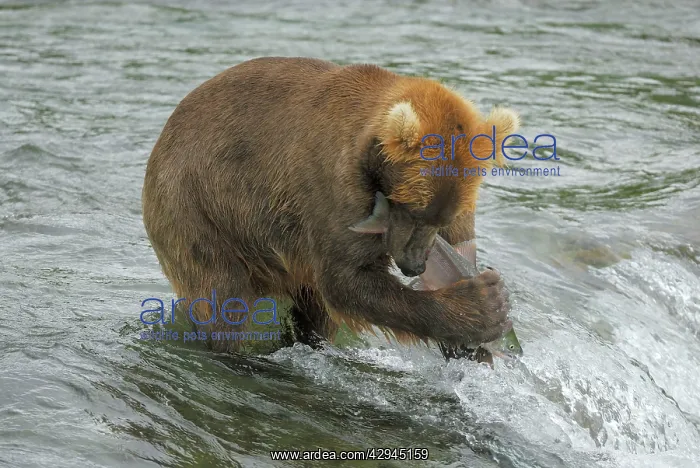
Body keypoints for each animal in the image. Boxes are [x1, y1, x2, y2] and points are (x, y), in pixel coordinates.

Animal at [141, 56, 520, 357]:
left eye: (440, 218)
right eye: (413, 210)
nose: (414, 265)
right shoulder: (332, 185)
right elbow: (347, 280)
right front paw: (483, 307)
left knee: (313, 307)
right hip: (200, 209)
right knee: (223, 295)